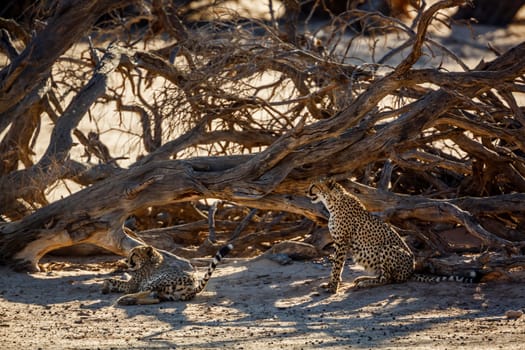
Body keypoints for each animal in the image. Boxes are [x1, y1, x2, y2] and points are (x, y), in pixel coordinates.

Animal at [102, 243, 231, 304]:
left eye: (134, 254)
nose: (126, 261)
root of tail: (192, 287)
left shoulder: (131, 286)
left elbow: (111, 279)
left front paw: (105, 287)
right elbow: (112, 279)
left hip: (157, 281)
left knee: (145, 292)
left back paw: (123, 299)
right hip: (165, 294)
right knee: (155, 299)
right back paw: (129, 301)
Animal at [304, 179, 476, 294]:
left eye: (314, 186)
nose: (306, 191)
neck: (332, 203)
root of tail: (411, 270)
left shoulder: (342, 242)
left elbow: (336, 266)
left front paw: (333, 287)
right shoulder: (338, 242)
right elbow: (335, 266)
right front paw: (331, 284)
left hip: (387, 248)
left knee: (388, 279)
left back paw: (365, 283)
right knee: (384, 275)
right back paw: (363, 279)